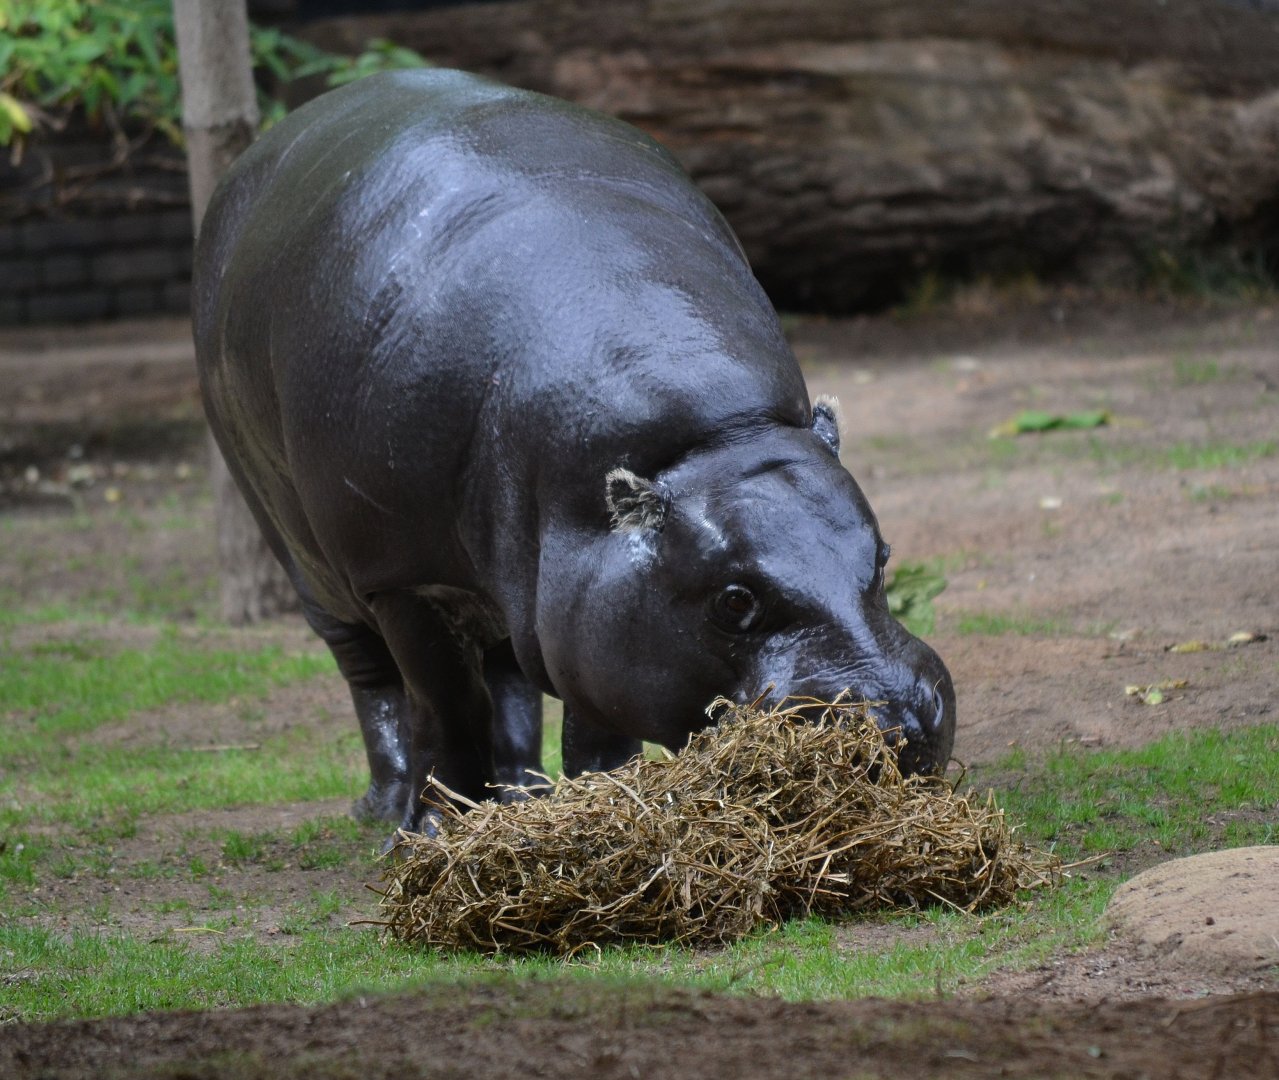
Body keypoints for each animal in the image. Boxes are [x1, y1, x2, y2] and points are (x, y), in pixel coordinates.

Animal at [192, 69, 955, 835]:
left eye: (881, 557)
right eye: (733, 600)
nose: (897, 721)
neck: (713, 441)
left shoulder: (594, 600)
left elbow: (594, 721)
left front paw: (604, 797)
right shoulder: (405, 580)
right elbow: (444, 707)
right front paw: (435, 833)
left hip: (514, 588)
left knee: (507, 677)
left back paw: (522, 797)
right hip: (306, 556)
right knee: (371, 676)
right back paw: (386, 810)